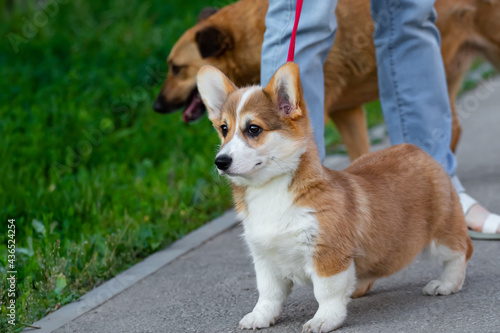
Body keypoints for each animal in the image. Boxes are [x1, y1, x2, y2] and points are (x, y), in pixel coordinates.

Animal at [195, 63, 472, 332]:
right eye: (224, 129)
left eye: (253, 129)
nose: (220, 162)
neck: (270, 191)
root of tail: (417, 150)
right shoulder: (265, 259)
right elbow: (268, 294)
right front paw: (259, 317)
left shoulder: (327, 254)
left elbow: (326, 293)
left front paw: (324, 319)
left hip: (441, 232)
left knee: (460, 251)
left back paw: (446, 283)